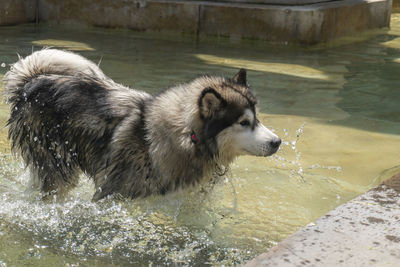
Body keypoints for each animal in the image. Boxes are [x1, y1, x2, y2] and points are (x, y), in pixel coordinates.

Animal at [3, 49, 282, 201]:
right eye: (244, 122)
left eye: (257, 118)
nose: (277, 142)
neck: (188, 138)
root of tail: (31, 83)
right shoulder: (111, 194)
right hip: (57, 165)